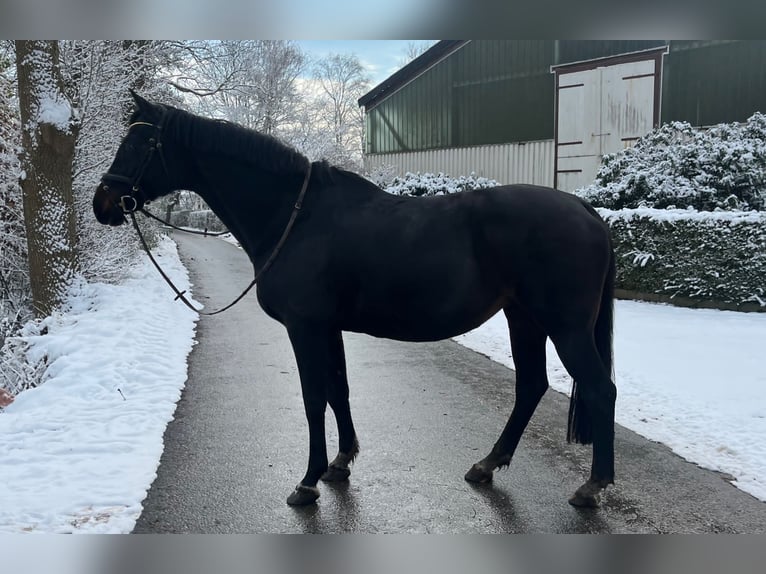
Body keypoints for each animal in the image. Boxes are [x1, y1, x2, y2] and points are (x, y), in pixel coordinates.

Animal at [93, 91, 617, 509]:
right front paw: (340, 463)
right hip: (523, 316)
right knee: (530, 385)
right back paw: (487, 465)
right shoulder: (328, 328)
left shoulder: (305, 327)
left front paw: (307, 482)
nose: (103, 204)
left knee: (599, 389)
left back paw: (592, 488)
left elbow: (312, 398)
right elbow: (337, 390)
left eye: (138, 144)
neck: (296, 217)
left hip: (563, 325)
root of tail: (585, 209)